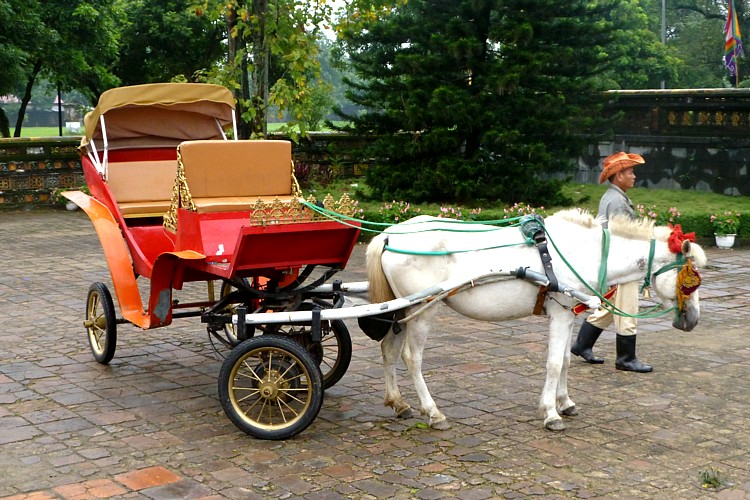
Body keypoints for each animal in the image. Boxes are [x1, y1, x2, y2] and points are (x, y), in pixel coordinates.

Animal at [365, 209, 706, 431]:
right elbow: (554, 363)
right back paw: (434, 413)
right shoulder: (560, 311)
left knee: (389, 350)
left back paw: (399, 403)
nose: (692, 320)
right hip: (424, 308)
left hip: (403, 309)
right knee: (411, 358)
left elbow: (566, 361)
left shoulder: (569, 314)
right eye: (691, 280)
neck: (588, 251)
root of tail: (389, 235)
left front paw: (565, 402)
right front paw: (551, 413)